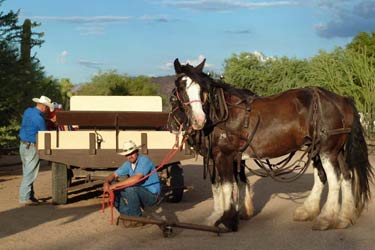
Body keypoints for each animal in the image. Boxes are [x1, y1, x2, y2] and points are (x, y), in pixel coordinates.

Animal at [170, 57, 374, 231]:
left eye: (201, 89)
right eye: (181, 88)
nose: (199, 120)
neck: (223, 113)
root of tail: (342, 100)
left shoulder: (225, 155)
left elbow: (227, 185)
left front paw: (227, 221)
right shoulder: (220, 157)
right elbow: (220, 186)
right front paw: (217, 216)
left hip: (327, 150)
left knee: (334, 179)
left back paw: (325, 218)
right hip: (326, 149)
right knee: (341, 176)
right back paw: (338, 216)